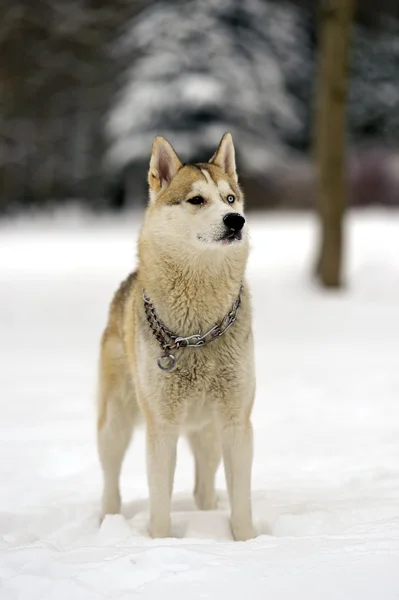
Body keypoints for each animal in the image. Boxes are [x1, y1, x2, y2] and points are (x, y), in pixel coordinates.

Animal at [98, 134, 258, 540]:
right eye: (197, 200)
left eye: (229, 198)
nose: (236, 221)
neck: (197, 334)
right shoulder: (162, 425)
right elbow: (159, 506)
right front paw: (162, 544)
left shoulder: (236, 421)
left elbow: (241, 503)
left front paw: (248, 543)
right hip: (115, 422)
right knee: (110, 480)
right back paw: (107, 523)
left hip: (208, 434)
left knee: (204, 486)